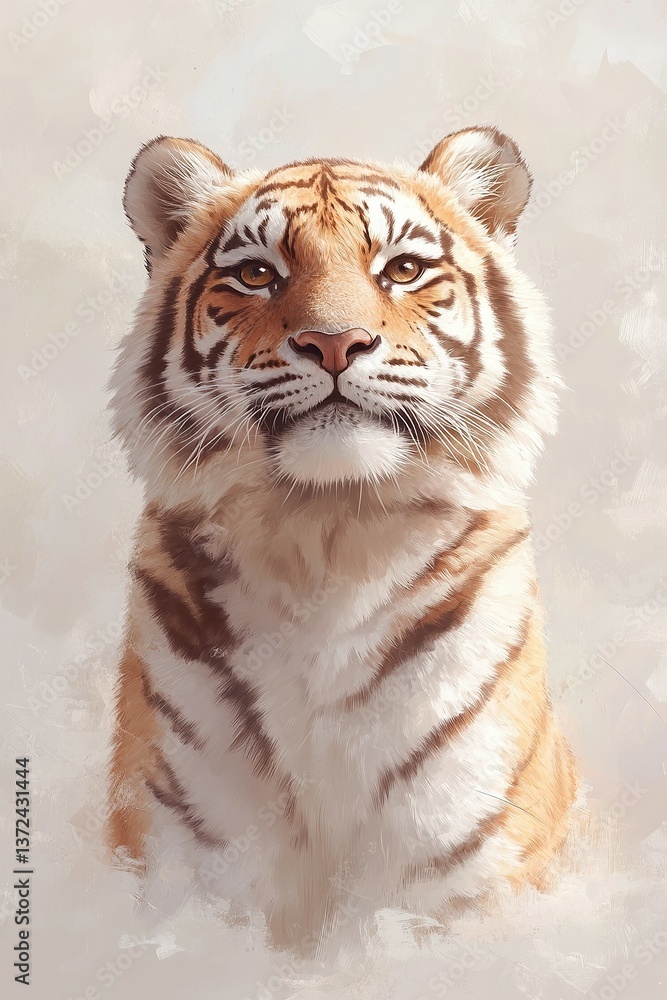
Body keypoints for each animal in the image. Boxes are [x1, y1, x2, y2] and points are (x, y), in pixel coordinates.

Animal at [107, 126, 578, 952]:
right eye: (258, 273)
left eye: (403, 269)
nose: (333, 342)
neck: (325, 536)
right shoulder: (190, 857)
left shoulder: (459, 866)